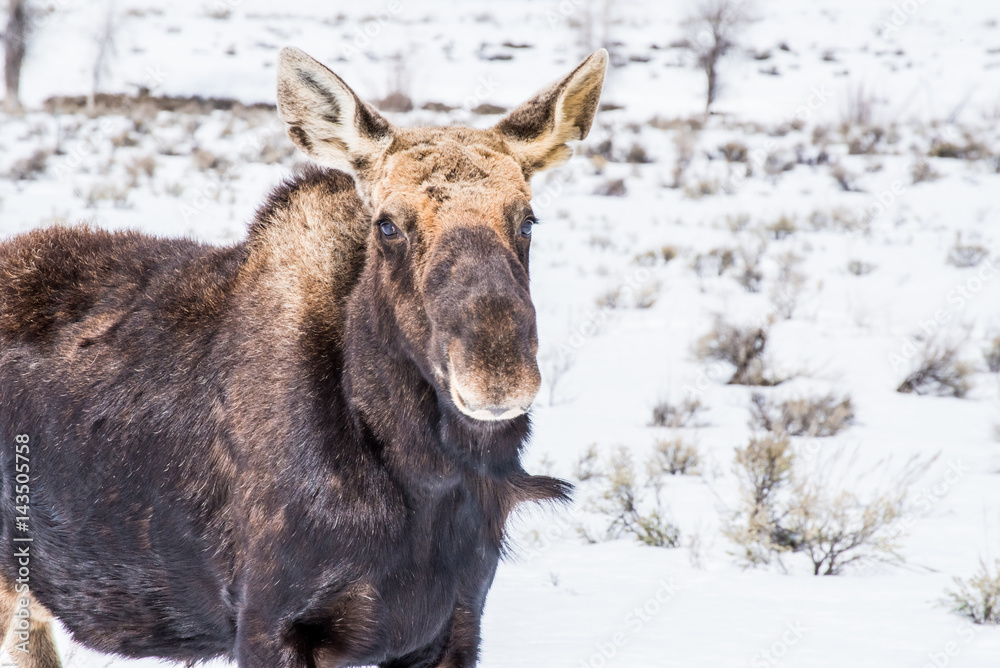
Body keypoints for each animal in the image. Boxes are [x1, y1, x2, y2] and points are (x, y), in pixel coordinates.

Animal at [0, 46, 607, 668]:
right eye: (387, 224)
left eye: (526, 219)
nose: (497, 375)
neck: (425, 473)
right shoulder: (269, 621)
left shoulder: (455, 621)